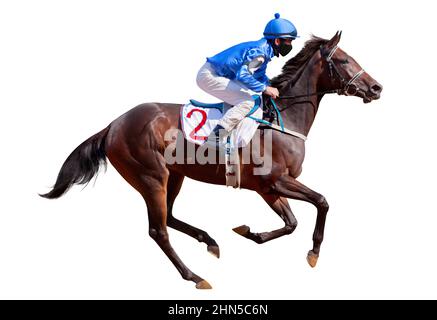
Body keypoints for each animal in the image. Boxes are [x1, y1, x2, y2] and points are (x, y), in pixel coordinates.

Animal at [41, 31, 382, 288]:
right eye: (343, 60)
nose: (376, 87)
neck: (282, 120)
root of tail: (113, 125)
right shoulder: (274, 181)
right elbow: (321, 202)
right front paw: (313, 252)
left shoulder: (268, 188)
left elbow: (291, 222)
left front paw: (251, 232)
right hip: (151, 177)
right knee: (158, 230)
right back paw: (195, 276)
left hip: (175, 175)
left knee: (169, 218)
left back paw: (209, 241)